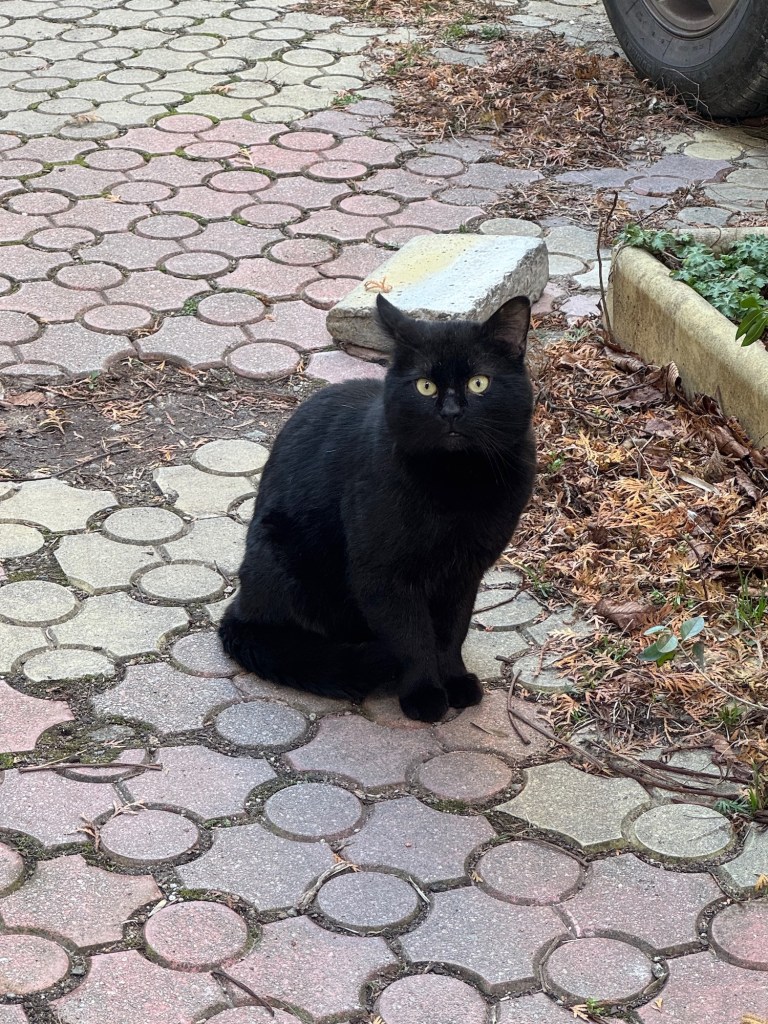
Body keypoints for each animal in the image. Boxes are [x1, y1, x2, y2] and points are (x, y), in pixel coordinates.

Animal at [219, 292, 536, 722]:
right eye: (424, 386)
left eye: (479, 382)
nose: (451, 412)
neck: (457, 484)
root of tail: (238, 606)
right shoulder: (382, 575)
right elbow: (414, 638)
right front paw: (425, 694)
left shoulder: (465, 571)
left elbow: (451, 632)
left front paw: (455, 680)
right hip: (284, 556)